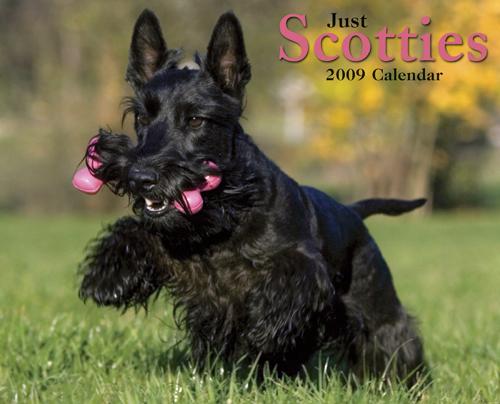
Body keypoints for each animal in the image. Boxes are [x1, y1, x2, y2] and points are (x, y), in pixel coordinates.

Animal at [76, 9, 428, 385]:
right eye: (142, 116)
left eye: (196, 120)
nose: (140, 177)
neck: (224, 214)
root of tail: (352, 212)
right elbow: (136, 233)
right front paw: (107, 279)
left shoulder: (301, 266)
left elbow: (282, 290)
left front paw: (262, 326)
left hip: (375, 301)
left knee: (392, 337)